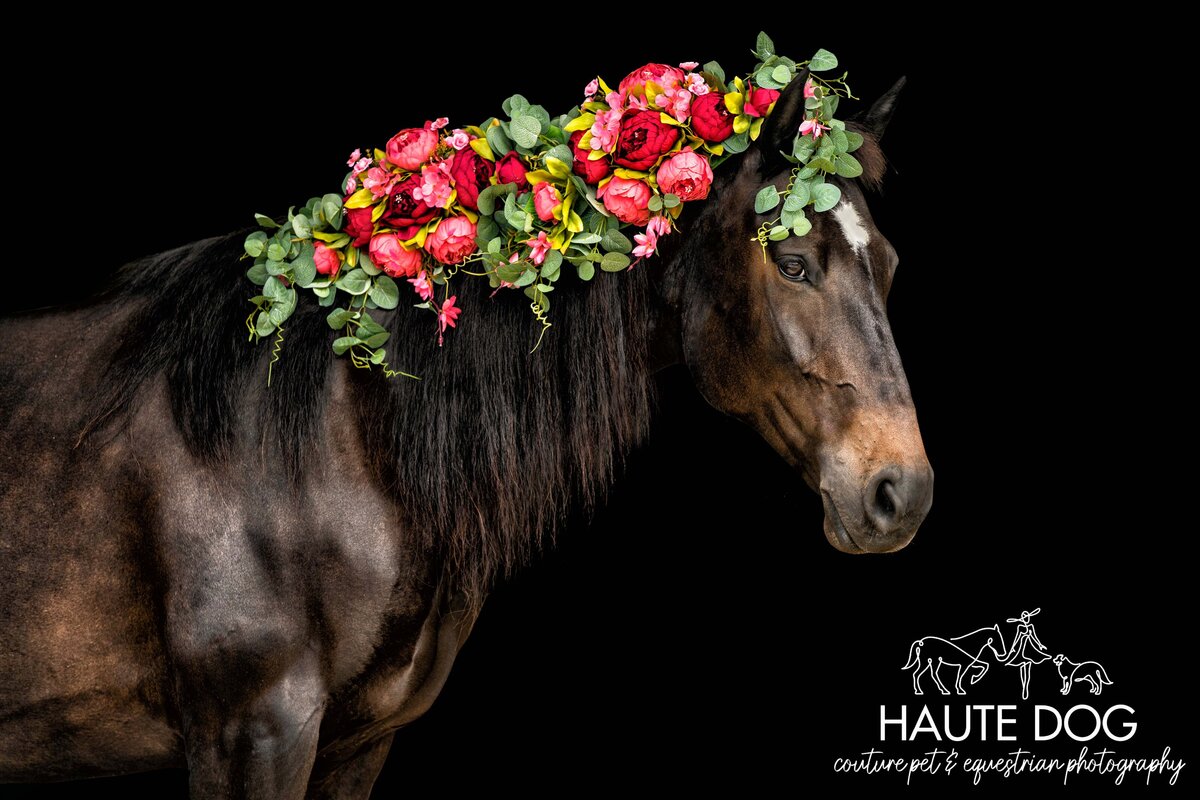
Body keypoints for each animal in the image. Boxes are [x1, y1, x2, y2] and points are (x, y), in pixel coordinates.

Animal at [0, 71, 926, 796]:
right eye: (794, 264)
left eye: (887, 267)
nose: (902, 491)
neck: (328, 446)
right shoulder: (248, 735)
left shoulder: (355, 744)